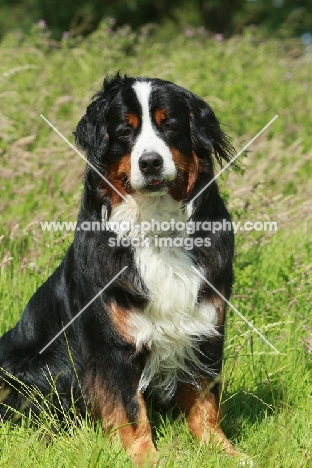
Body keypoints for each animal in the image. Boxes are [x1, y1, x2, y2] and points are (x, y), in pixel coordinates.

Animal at [0, 73, 239, 464]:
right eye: (125, 131)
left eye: (169, 126)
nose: (151, 163)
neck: (155, 227)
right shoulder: (111, 341)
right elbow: (129, 410)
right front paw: (148, 459)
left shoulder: (205, 325)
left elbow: (205, 401)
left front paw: (224, 452)